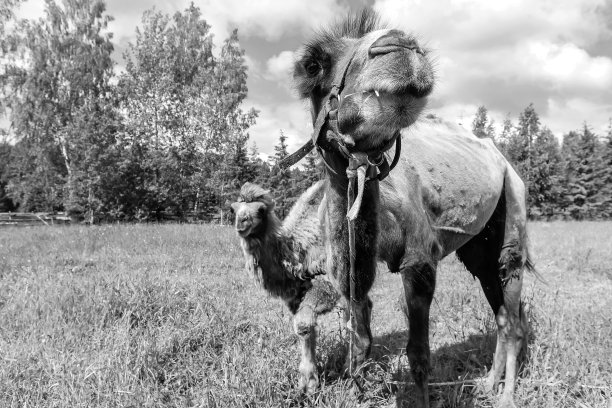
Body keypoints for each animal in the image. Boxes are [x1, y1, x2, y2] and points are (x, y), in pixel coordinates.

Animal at [231, 181, 340, 388]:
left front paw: (309, 384)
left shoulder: (324, 282)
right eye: (233, 208)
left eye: (261, 210)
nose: (241, 223)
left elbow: (304, 325)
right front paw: (308, 380)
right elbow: (307, 330)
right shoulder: (295, 295)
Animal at [286, 8, 532, 408]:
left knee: (511, 306)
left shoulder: (419, 261)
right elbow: (360, 342)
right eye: (313, 64)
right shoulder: (354, 278)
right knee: (500, 313)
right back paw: (487, 384)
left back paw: (507, 394)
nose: (400, 46)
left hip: (513, 207)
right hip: (477, 247)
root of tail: (503, 161)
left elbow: (418, 355)